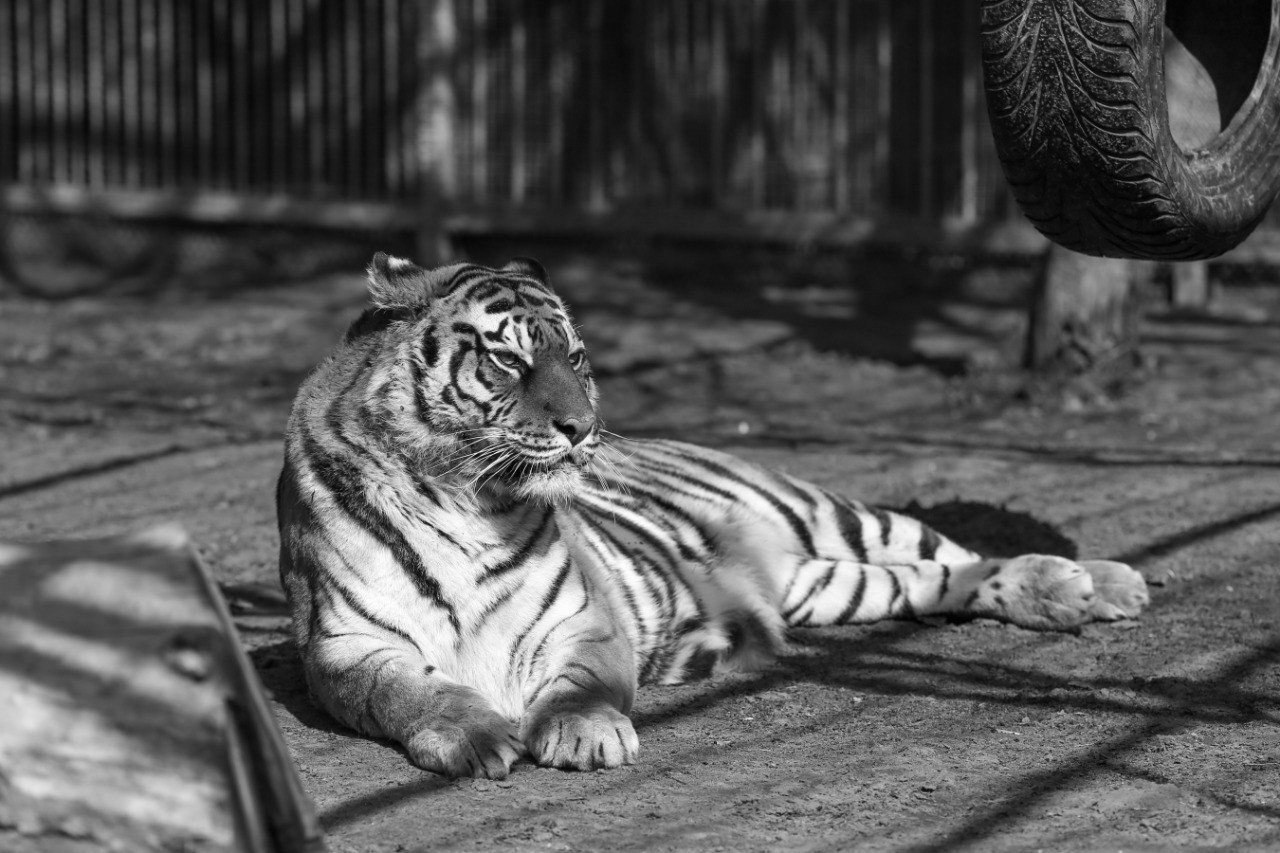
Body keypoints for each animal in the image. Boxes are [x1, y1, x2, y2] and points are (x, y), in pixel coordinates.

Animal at [276, 253, 1149, 779]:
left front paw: (586, 732)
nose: (583, 427)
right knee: (929, 578)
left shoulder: (586, 621)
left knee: (962, 553)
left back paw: (1094, 582)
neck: (464, 495)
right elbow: (408, 694)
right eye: (509, 360)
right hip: (832, 583)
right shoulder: (346, 647)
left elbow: (581, 687)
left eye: (576, 357)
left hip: (831, 513)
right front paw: (476, 731)